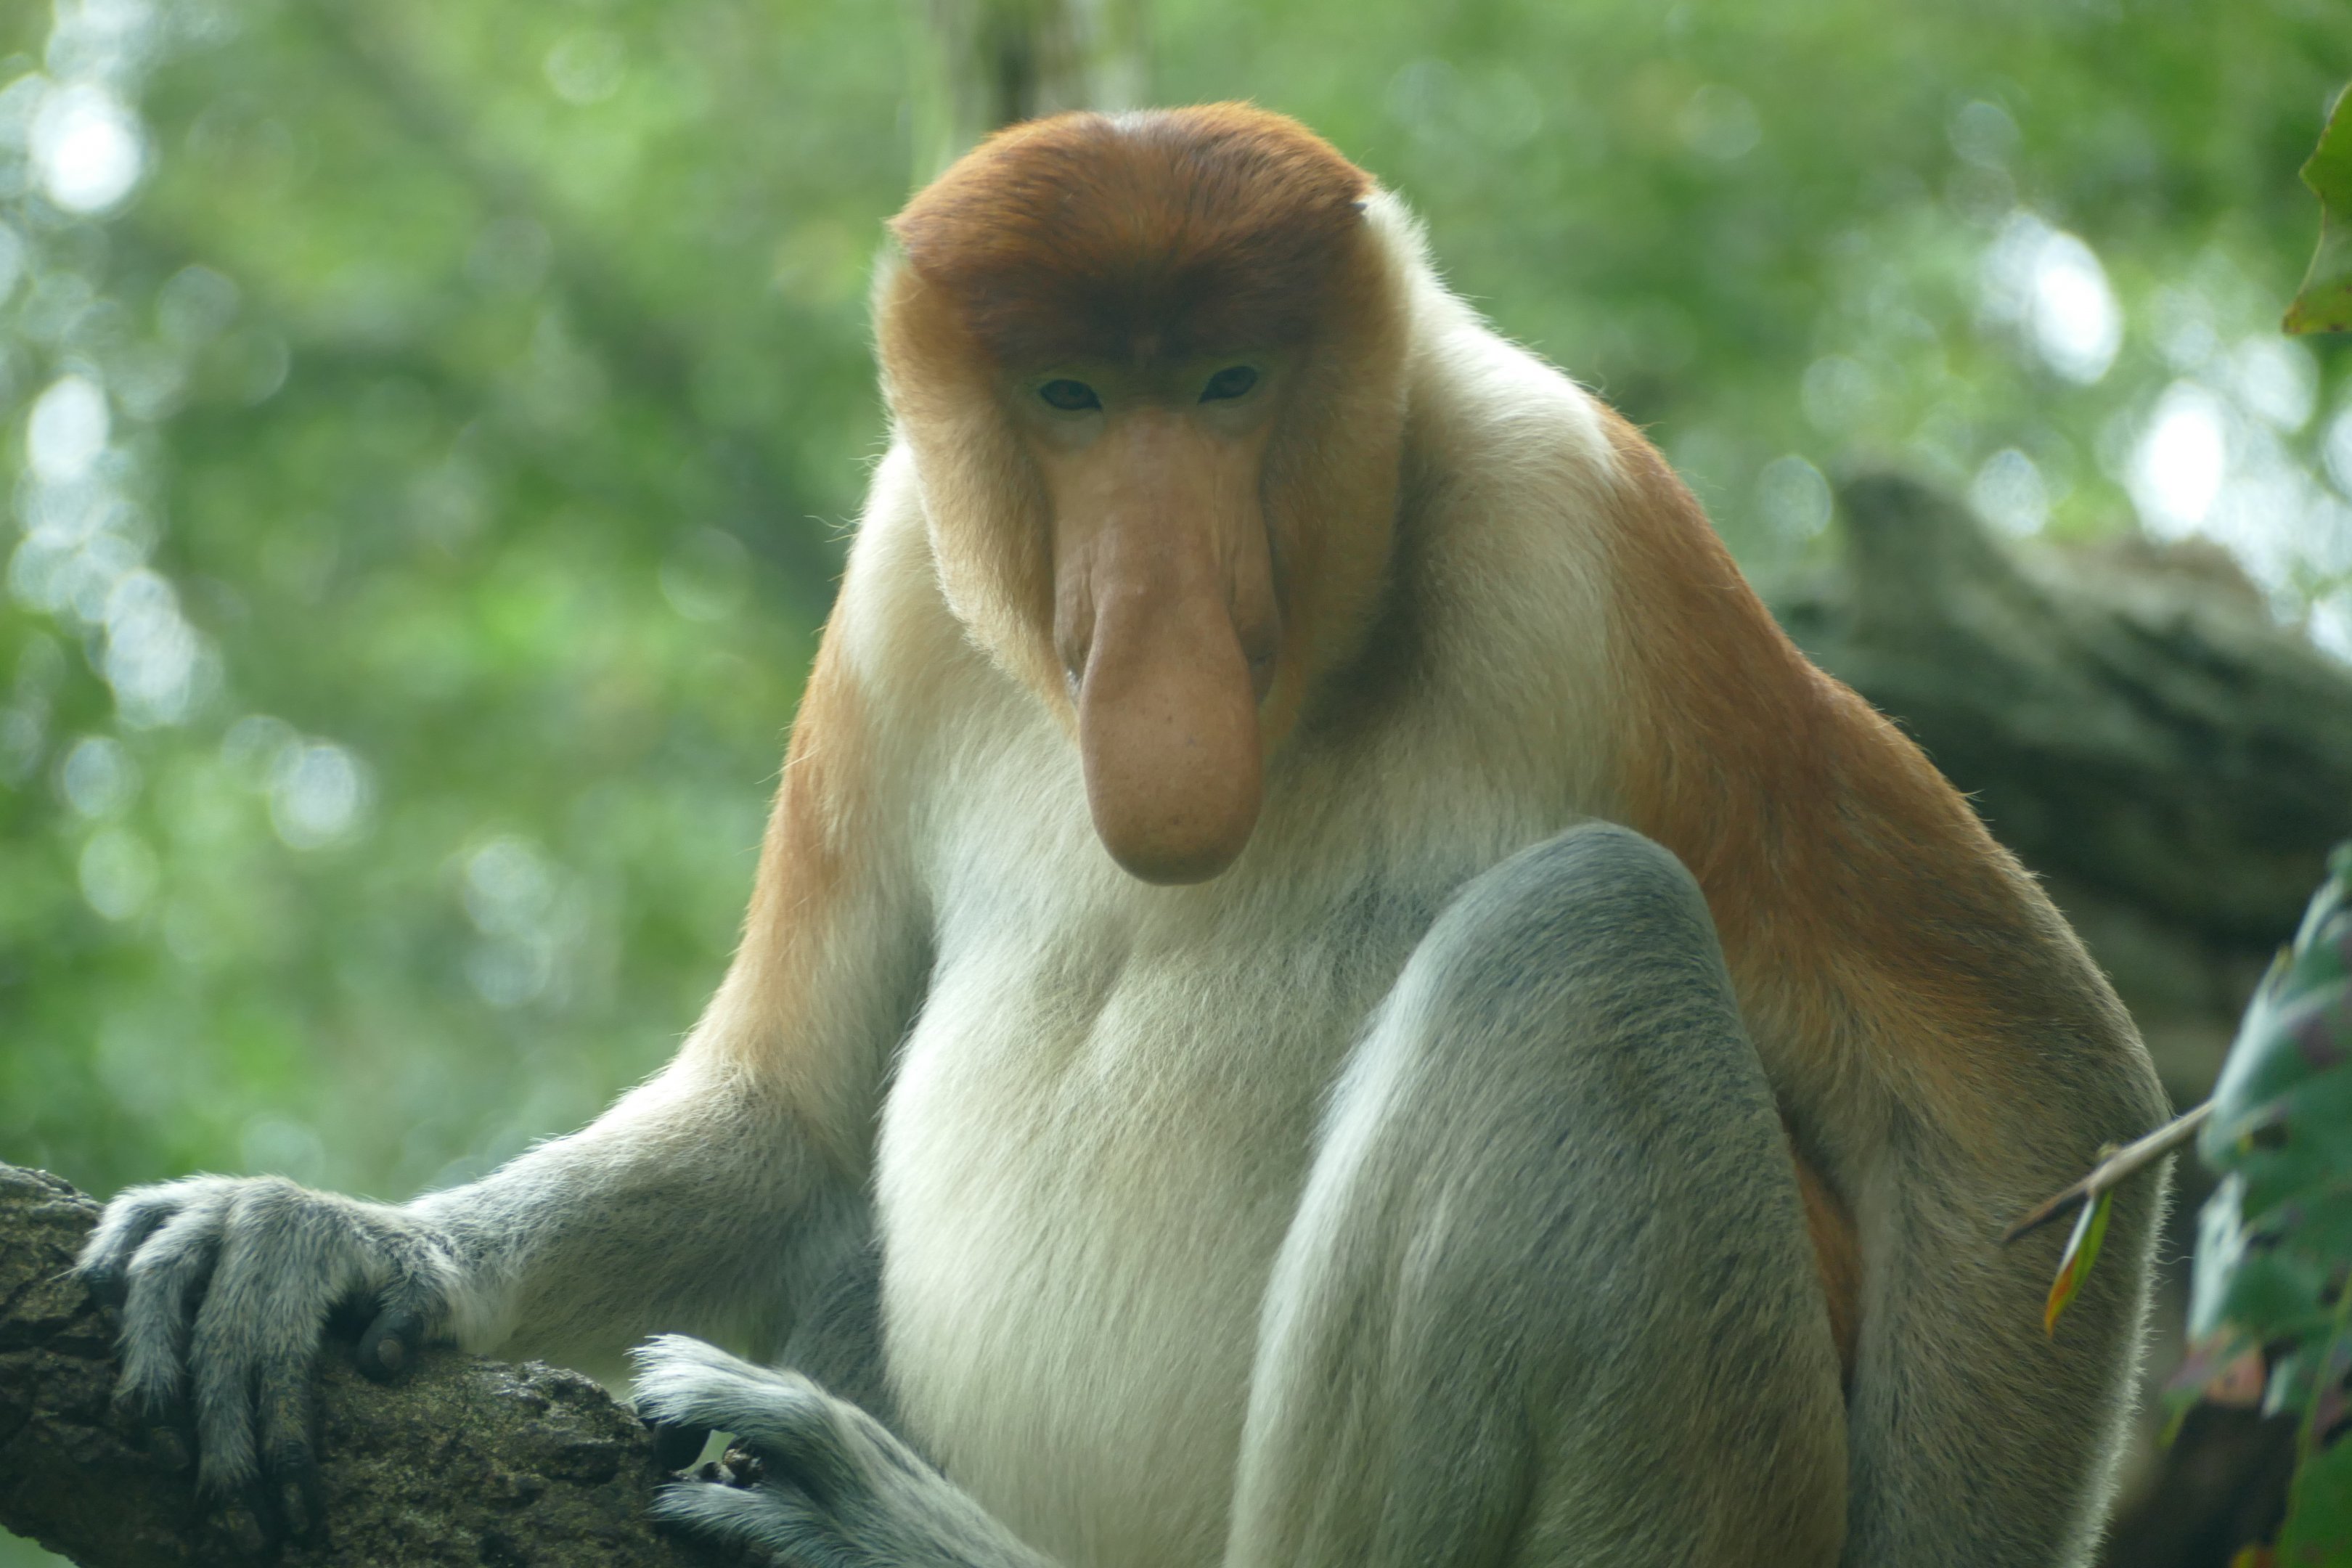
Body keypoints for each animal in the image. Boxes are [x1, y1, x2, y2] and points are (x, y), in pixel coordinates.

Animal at [78, 105, 2166, 1568]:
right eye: (1072, 400)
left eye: (1230, 387)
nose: (1151, 610)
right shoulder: (898, 597)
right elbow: (793, 1110)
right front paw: (328, 1244)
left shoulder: (1596, 540)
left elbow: (2022, 1082)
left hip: (1710, 1473)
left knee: (1583, 946)